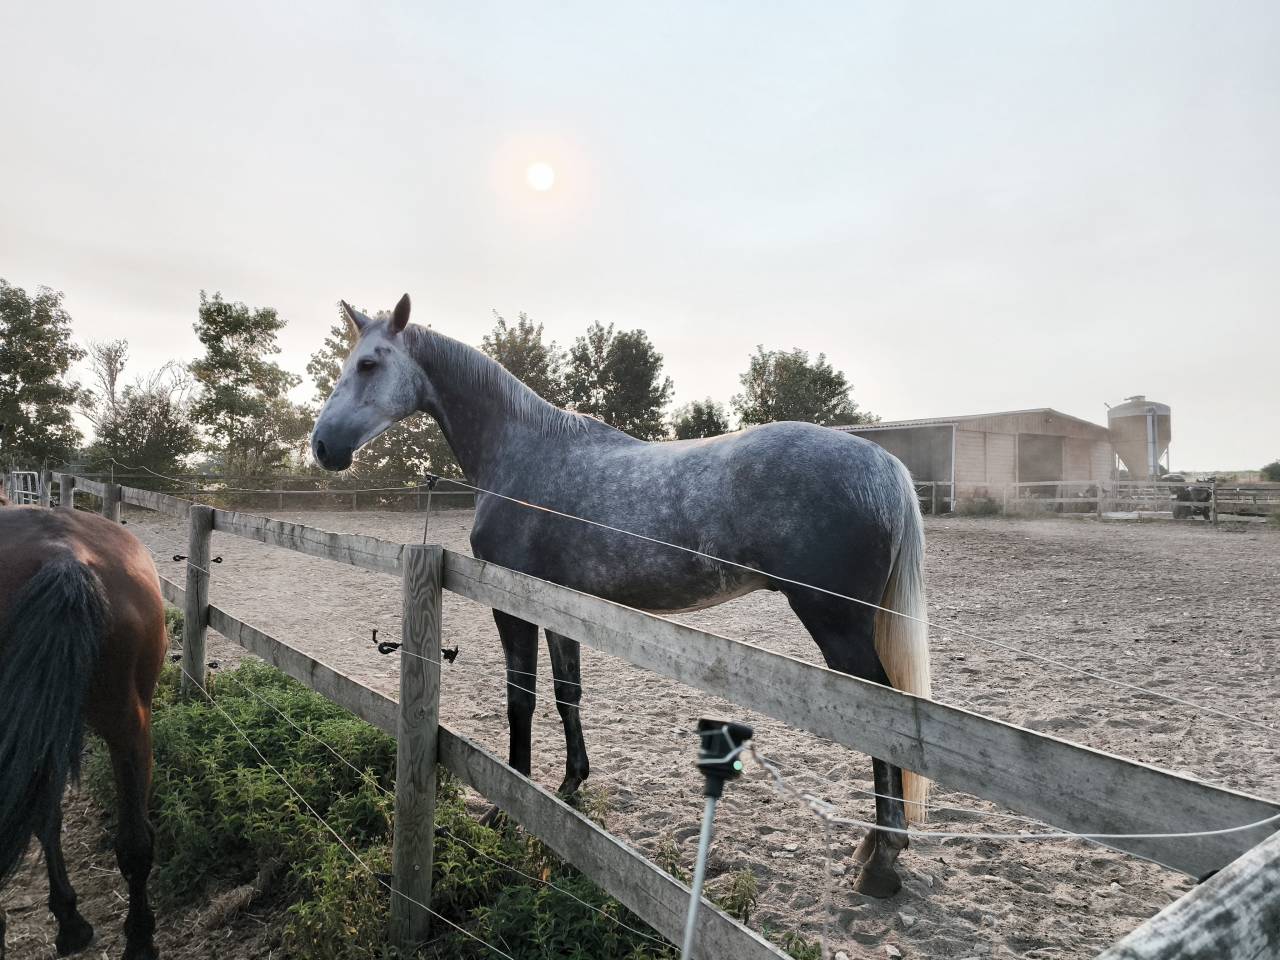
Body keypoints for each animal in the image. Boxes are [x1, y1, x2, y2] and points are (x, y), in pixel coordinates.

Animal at [0, 501, 166, 959]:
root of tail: (64, 554)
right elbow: (47, 818)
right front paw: (70, 921)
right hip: (129, 727)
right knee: (135, 843)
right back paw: (139, 941)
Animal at [310, 295, 933, 897]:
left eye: (369, 364)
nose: (322, 447)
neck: (522, 452)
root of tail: (885, 466)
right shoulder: (558, 604)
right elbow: (567, 694)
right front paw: (569, 786)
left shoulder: (513, 604)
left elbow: (521, 699)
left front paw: (506, 807)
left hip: (838, 624)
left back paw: (881, 863)